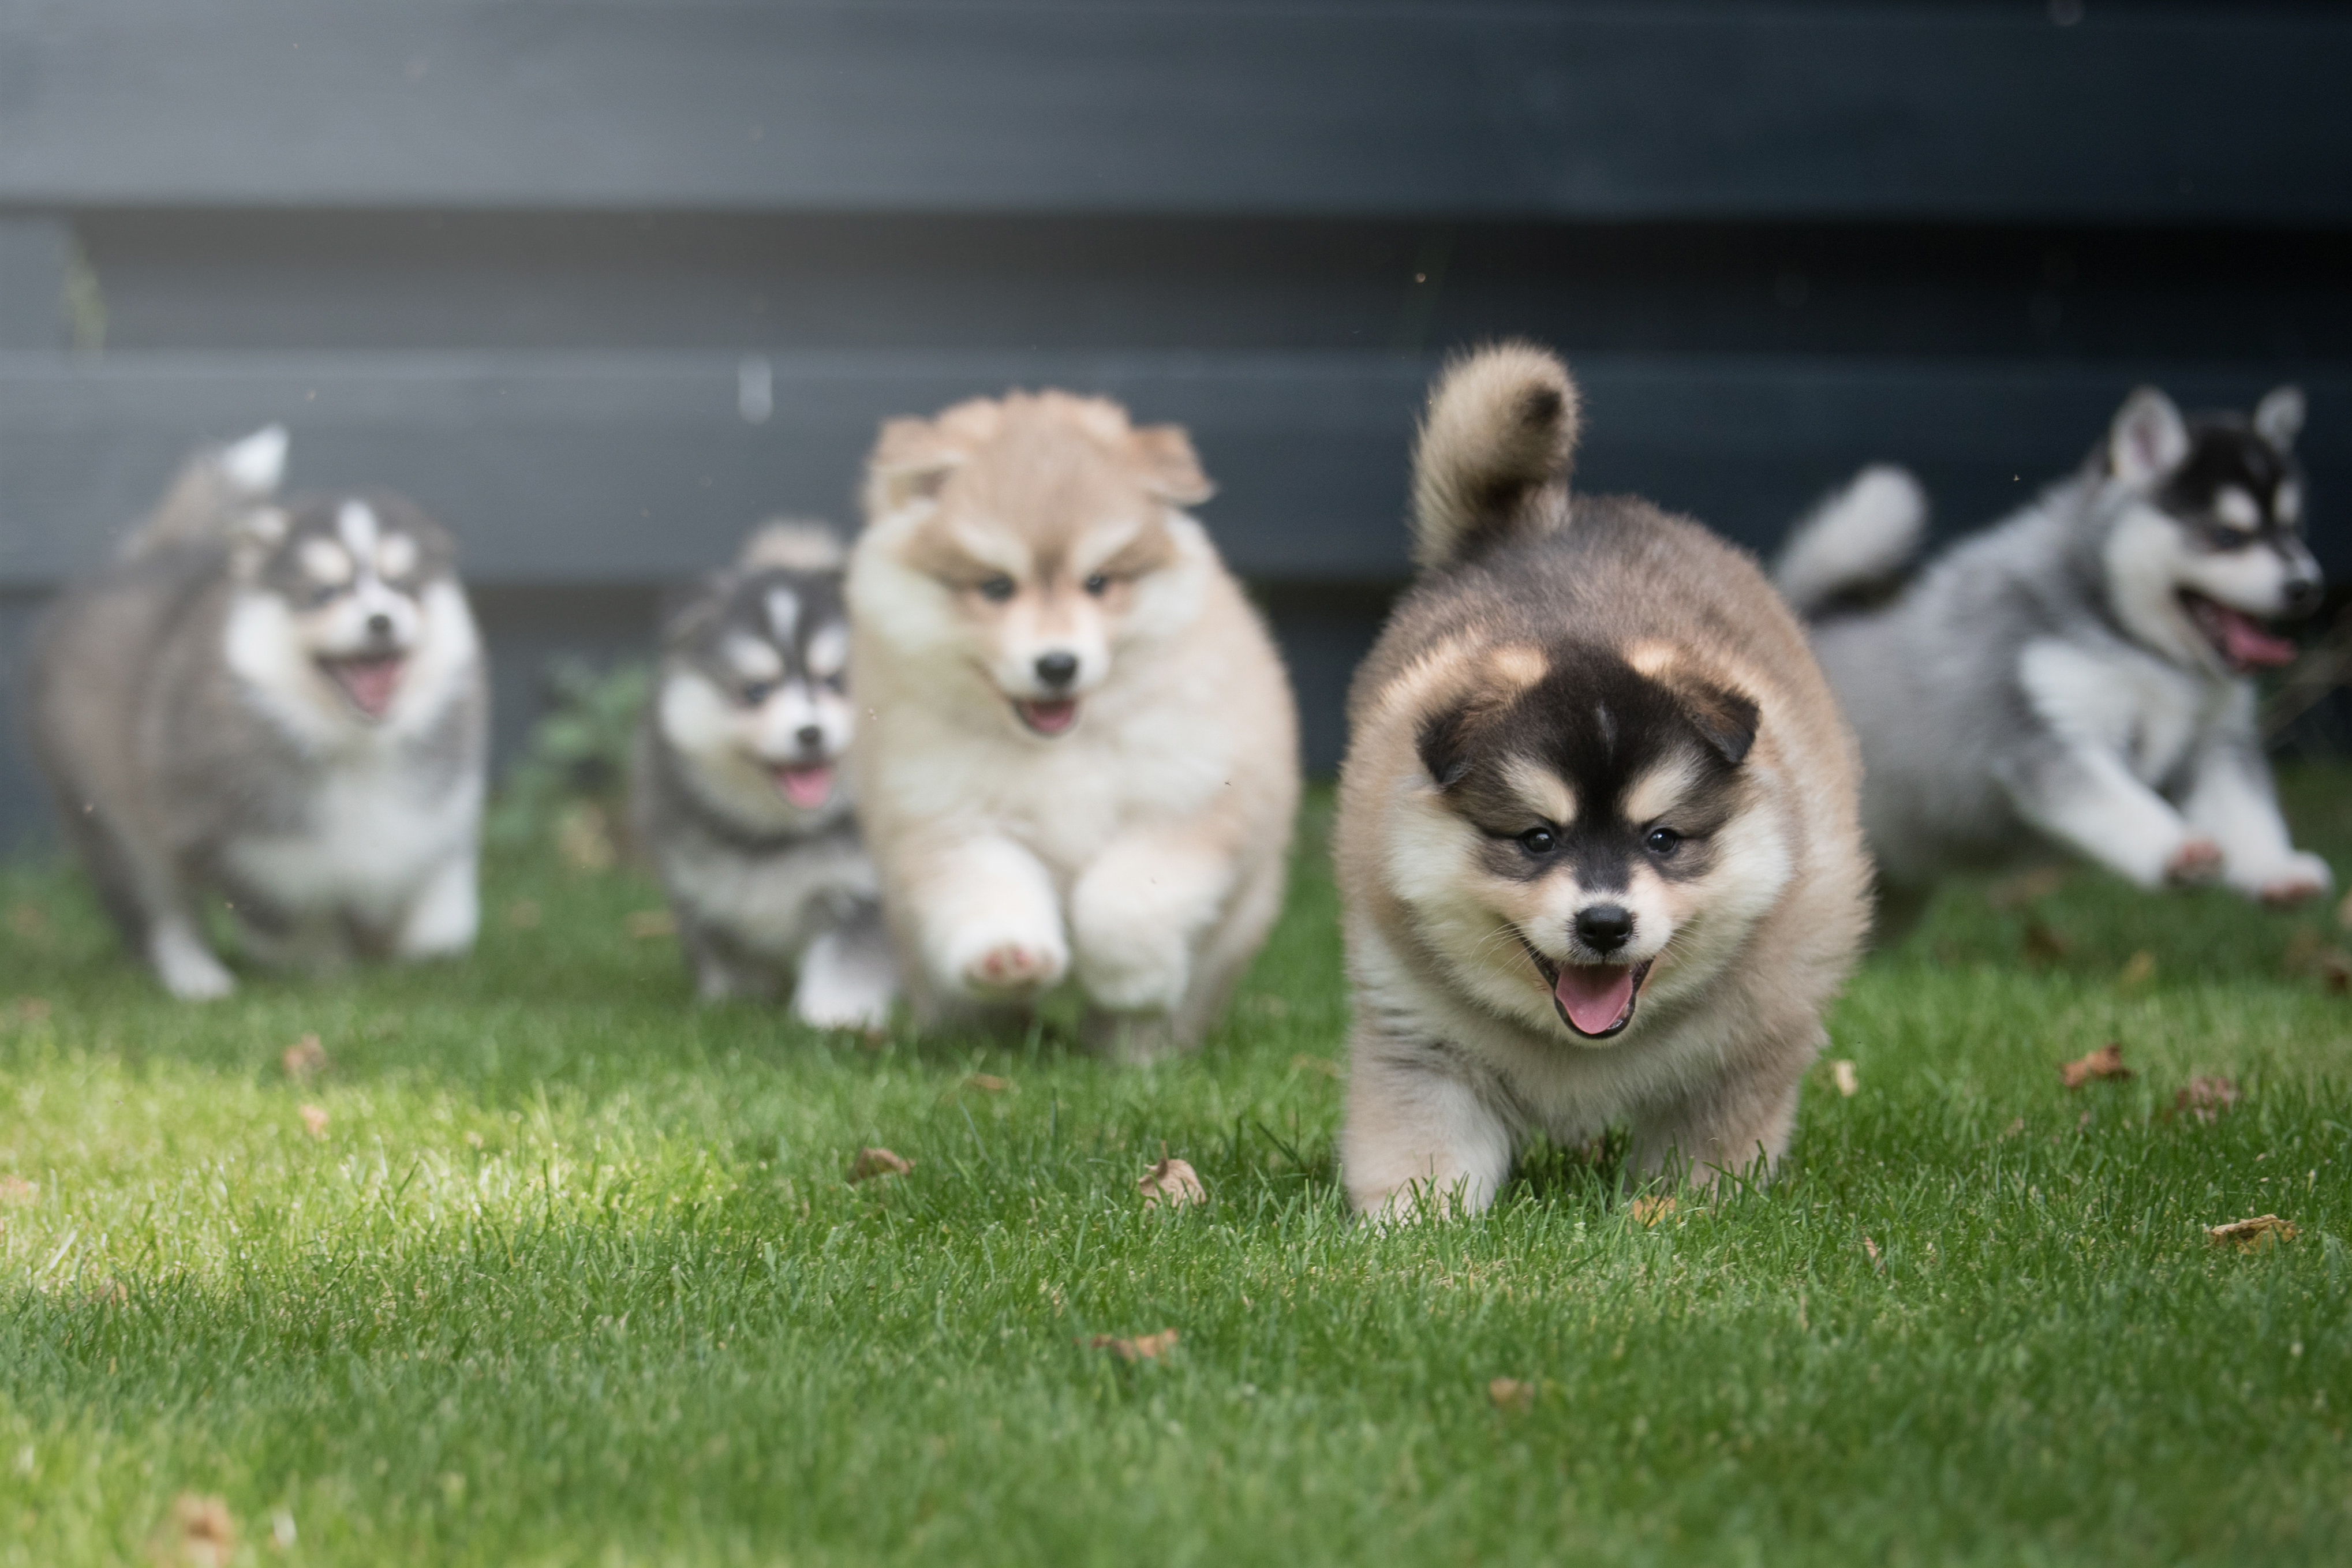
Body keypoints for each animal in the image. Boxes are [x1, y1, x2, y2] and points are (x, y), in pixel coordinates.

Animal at [25, 423, 484, 1001]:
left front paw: (415, 949)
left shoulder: (438, 814)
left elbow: (442, 908)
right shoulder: (247, 846)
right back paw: (196, 978)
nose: (380, 619)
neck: (352, 744)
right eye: (325, 592)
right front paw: (326, 968)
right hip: (111, 822)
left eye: (404, 585)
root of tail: (138, 560)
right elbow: (293, 918)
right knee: (160, 911)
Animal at [630, 522, 893, 1025]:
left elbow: (846, 964)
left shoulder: (863, 892)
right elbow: (728, 960)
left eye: (835, 682)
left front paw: (832, 1018)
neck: (779, 836)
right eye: (756, 691)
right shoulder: (702, 892)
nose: (810, 732)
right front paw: (731, 1005)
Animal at [851, 390, 1307, 1067]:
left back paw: (1136, 1051)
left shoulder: (1186, 800)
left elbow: (1123, 902)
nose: (1057, 664)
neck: (1061, 748)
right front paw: (1008, 956)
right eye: (996, 586)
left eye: (1098, 582)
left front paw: (1129, 980)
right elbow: (990, 886)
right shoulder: (950, 815)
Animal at [1345, 343, 1872, 1222]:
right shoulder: (1421, 1040)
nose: (1602, 923)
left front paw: (1673, 1215)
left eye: (1662, 838)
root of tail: (1537, 522)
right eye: (1535, 838)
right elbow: (1423, 1153)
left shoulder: (1741, 1053)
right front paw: (1413, 1228)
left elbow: (1703, 1161)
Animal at [1768, 388, 2324, 940]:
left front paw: (2276, 869)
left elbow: (2244, 811)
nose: (2306, 586)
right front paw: (2177, 849)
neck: (2144, 649)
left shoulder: (2215, 742)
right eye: (2226, 534)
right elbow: (2119, 802)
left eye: (2293, 528)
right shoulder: (2045, 732)